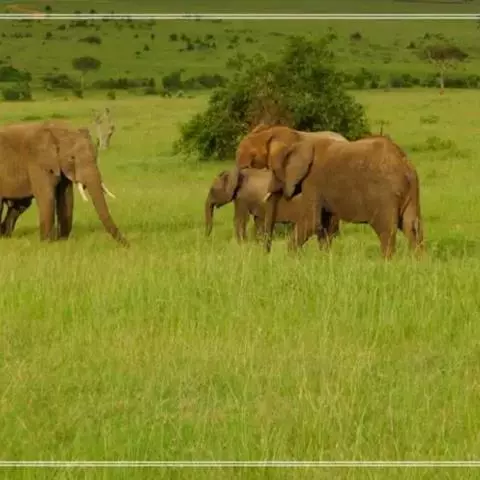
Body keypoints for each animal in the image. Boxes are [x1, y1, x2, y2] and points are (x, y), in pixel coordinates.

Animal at [263, 134, 424, 259]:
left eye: (274, 172)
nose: (266, 255)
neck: (301, 144)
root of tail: (405, 163)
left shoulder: (312, 182)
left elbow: (312, 222)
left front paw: (290, 258)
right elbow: (325, 226)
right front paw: (325, 259)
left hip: (385, 195)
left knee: (386, 231)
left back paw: (386, 264)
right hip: (412, 190)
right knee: (412, 226)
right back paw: (418, 262)